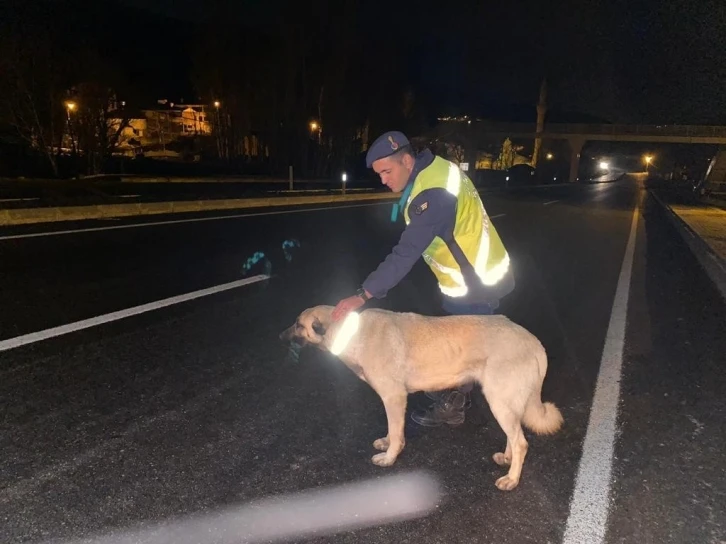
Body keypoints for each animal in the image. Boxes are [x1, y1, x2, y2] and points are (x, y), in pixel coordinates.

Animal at [282, 304, 564, 490]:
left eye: (297, 324)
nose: (278, 336)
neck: (348, 331)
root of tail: (535, 342)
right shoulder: (392, 400)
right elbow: (392, 430)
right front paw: (387, 444)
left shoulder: (394, 398)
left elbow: (397, 432)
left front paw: (390, 457)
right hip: (504, 402)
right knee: (513, 436)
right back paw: (507, 459)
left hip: (499, 400)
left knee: (521, 443)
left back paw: (512, 478)